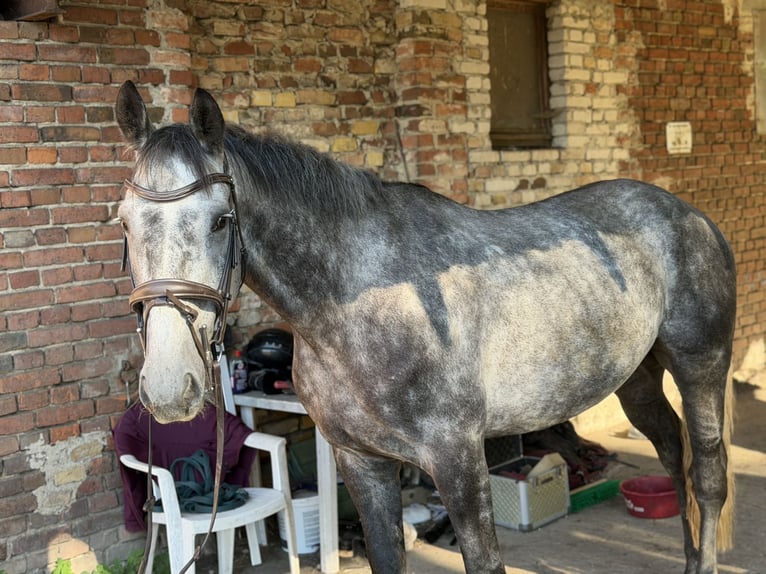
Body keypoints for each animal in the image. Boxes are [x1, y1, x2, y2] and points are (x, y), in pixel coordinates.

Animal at [114, 80, 736, 574]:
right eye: (123, 222)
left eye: (221, 220)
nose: (169, 387)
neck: (358, 308)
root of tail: (691, 215)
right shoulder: (361, 463)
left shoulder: (457, 461)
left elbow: (484, 561)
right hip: (636, 379)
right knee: (673, 456)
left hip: (700, 366)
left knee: (707, 474)